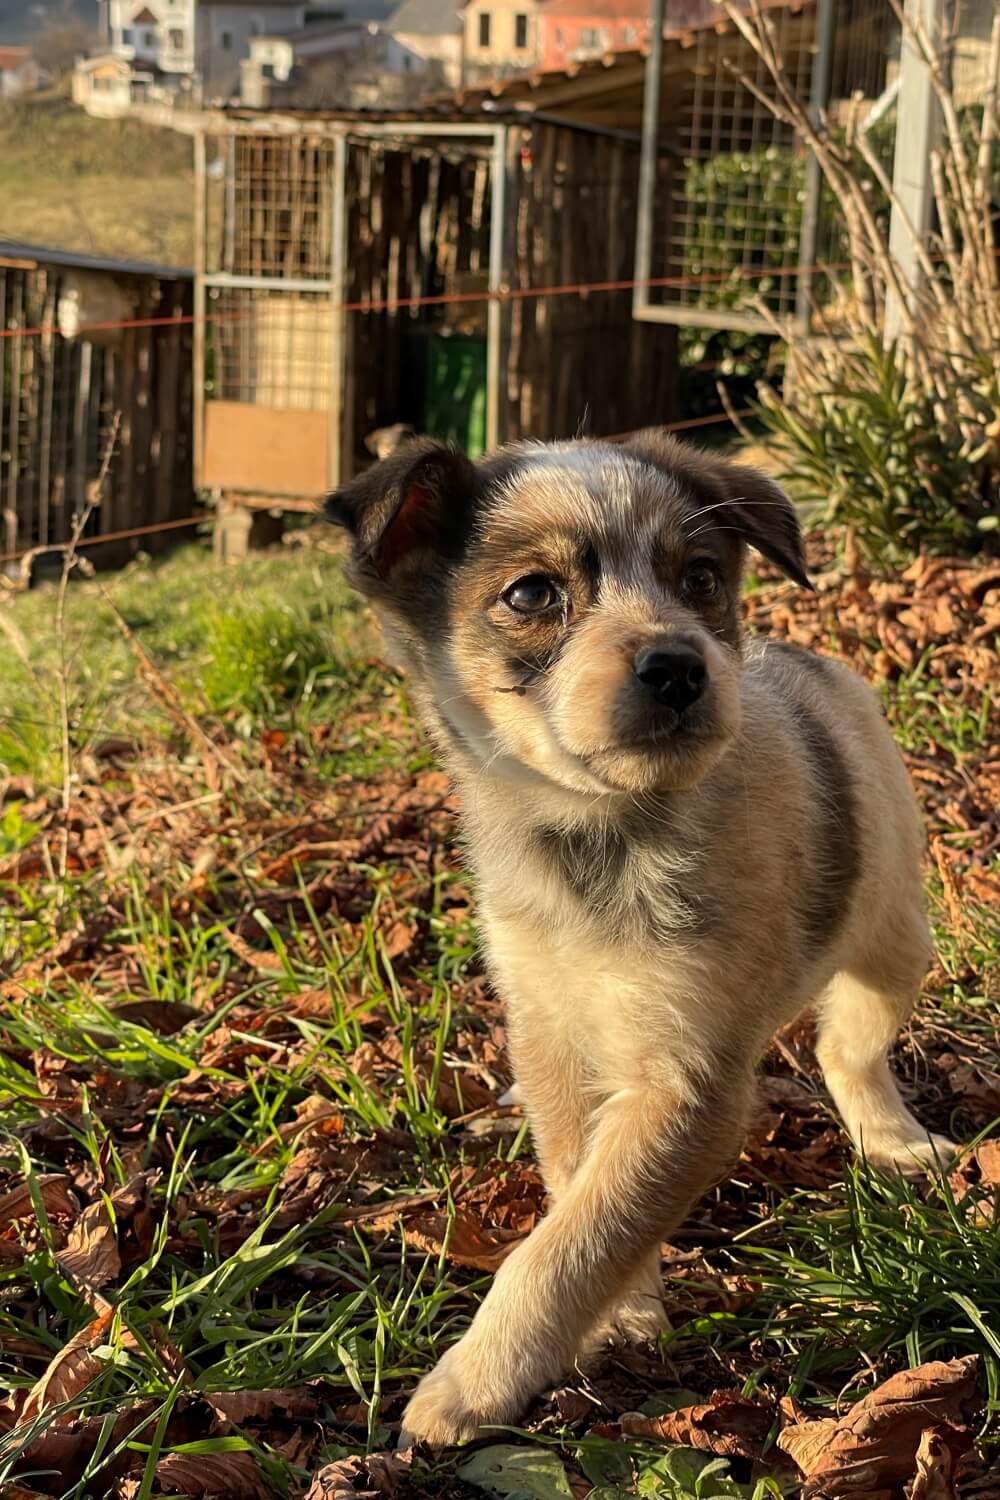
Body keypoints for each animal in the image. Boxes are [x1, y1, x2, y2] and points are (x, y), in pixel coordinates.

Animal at [325, 431, 955, 1447]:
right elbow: (582, 1195)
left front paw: (475, 1382)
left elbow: (575, 1240)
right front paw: (623, 1313)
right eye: (532, 594)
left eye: (700, 578)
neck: (600, 838)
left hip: (894, 940)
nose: (680, 667)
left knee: (847, 1048)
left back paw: (894, 1142)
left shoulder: (689, 1080)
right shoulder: (550, 1032)